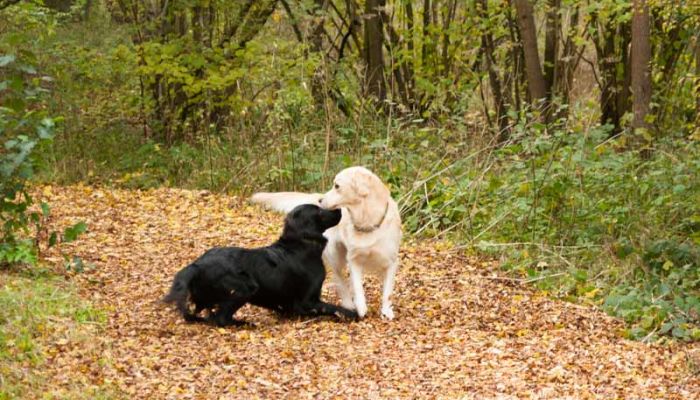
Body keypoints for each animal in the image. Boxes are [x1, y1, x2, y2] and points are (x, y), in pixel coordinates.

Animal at [163, 203, 356, 324]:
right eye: (319, 212)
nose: (340, 210)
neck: (300, 244)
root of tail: (196, 265)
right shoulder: (307, 301)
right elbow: (333, 308)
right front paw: (353, 314)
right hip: (246, 287)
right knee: (220, 319)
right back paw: (245, 323)